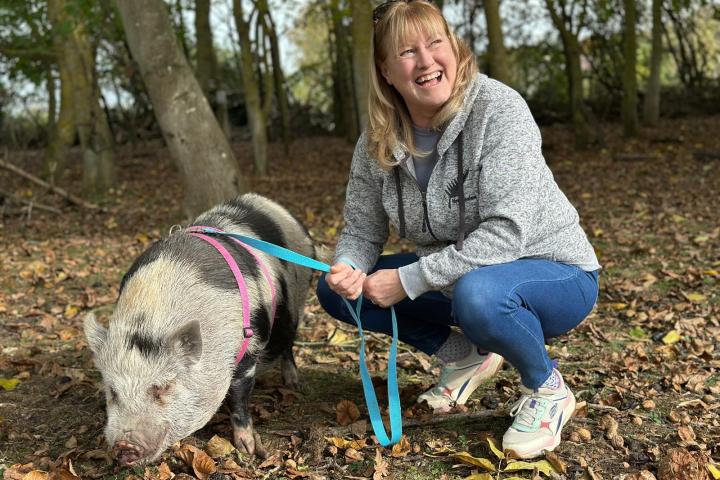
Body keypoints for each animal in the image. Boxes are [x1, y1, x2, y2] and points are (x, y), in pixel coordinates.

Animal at [84, 193, 315, 465]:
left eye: (163, 387)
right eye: (112, 391)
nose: (124, 445)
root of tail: (271, 204)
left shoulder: (248, 346)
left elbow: (239, 398)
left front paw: (247, 450)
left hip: (296, 300)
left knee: (288, 342)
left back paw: (293, 384)